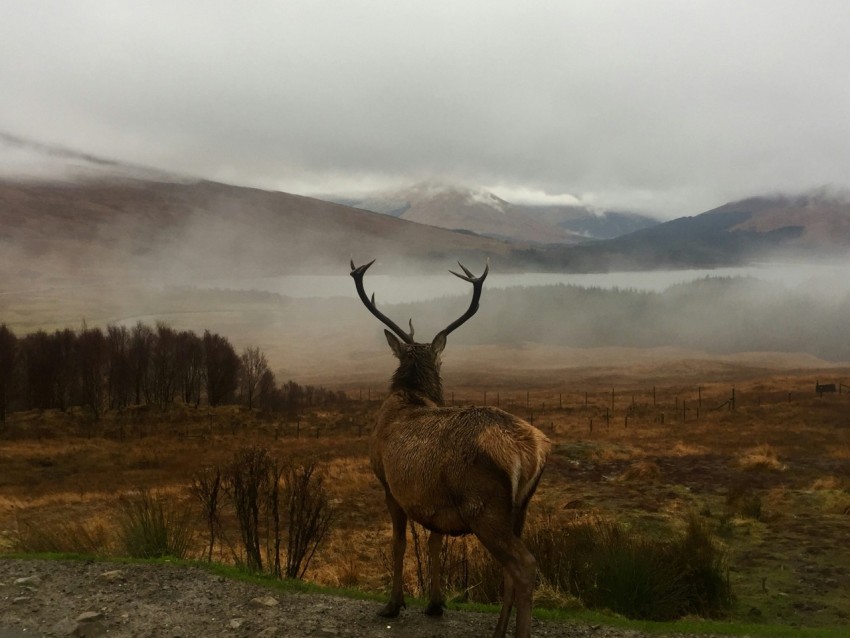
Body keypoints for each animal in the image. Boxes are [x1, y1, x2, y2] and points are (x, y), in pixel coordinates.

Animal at [350, 258, 551, 638]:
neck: (410, 396)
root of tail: (531, 453)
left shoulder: (388, 484)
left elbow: (398, 544)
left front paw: (392, 605)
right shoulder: (435, 501)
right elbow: (434, 544)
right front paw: (434, 604)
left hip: (483, 506)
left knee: (526, 565)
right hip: (520, 508)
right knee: (511, 570)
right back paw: (498, 631)